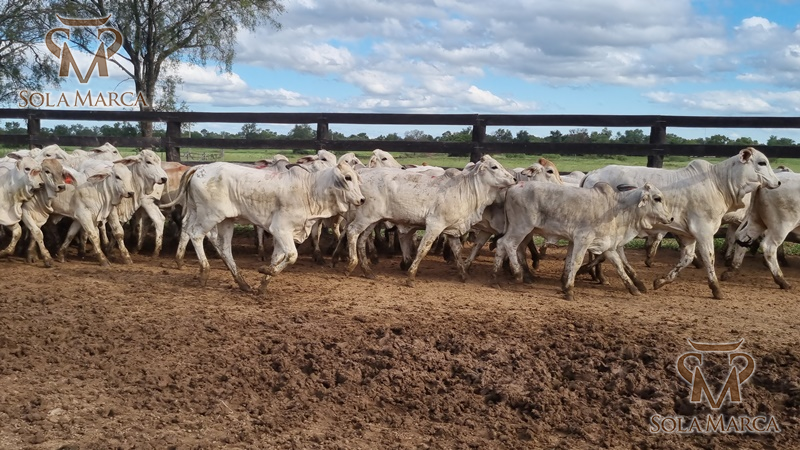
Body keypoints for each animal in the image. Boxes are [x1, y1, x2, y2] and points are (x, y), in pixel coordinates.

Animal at [167, 161, 365, 294]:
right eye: (347, 178)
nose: (362, 199)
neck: (309, 190)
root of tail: (200, 167)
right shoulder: (281, 229)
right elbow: (292, 256)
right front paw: (265, 271)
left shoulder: (284, 234)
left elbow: (277, 258)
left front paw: (262, 285)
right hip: (209, 216)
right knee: (196, 234)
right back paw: (204, 272)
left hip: (223, 220)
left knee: (221, 246)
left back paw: (242, 283)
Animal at [494, 182, 673, 300]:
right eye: (657, 198)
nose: (670, 218)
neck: (616, 209)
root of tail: (513, 187)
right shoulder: (583, 239)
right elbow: (576, 262)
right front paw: (569, 290)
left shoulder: (607, 245)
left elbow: (618, 265)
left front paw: (634, 288)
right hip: (521, 227)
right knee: (507, 244)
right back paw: (516, 274)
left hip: (525, 231)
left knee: (509, 246)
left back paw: (499, 275)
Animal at [580, 148, 781, 299]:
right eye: (762, 162)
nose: (778, 182)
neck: (718, 184)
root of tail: (592, 174)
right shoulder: (704, 231)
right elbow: (709, 258)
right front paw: (716, 289)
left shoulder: (688, 235)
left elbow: (687, 259)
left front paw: (660, 281)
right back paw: (602, 276)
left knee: (611, 251)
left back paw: (620, 278)